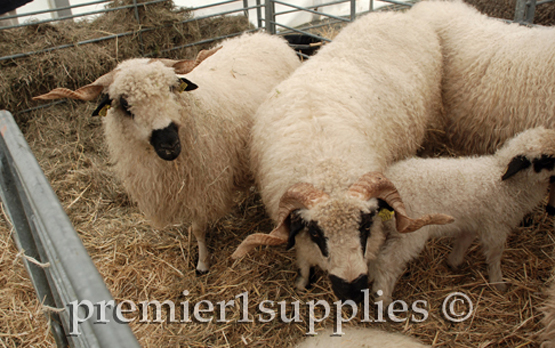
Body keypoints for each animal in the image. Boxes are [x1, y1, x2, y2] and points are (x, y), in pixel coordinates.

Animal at [33, 31, 304, 274]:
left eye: (172, 88)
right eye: (124, 104)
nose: (169, 143)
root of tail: (264, 36)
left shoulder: (199, 189)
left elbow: (198, 229)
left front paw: (202, 264)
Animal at [232, 11, 454, 302]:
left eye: (366, 226)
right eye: (316, 232)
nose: (351, 289)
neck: (326, 163)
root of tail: (395, 14)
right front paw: (303, 281)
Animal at [368, 127, 555, 304]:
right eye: (546, 159)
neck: (503, 180)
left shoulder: (471, 220)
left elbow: (464, 241)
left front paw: (454, 262)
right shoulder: (495, 225)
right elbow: (495, 255)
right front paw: (498, 283)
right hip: (410, 232)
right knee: (386, 262)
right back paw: (383, 299)